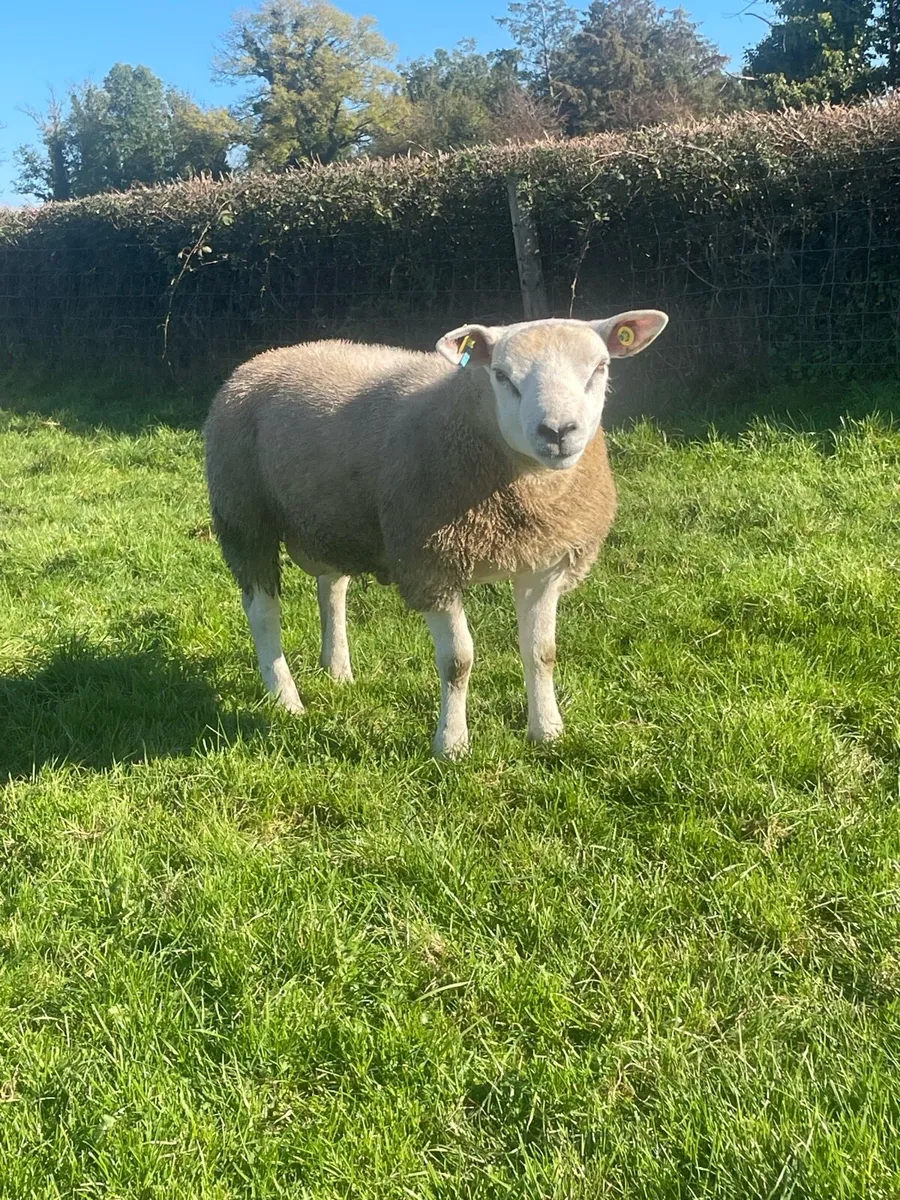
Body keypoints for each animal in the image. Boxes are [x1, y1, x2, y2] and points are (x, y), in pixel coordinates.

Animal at [204, 310, 668, 757]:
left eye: (600, 367)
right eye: (502, 376)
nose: (557, 432)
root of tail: (273, 355)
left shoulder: (543, 562)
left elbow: (541, 653)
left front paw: (548, 732)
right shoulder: (431, 564)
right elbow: (458, 662)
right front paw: (452, 745)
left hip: (332, 518)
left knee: (332, 589)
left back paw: (337, 670)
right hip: (243, 513)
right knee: (263, 611)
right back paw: (285, 698)